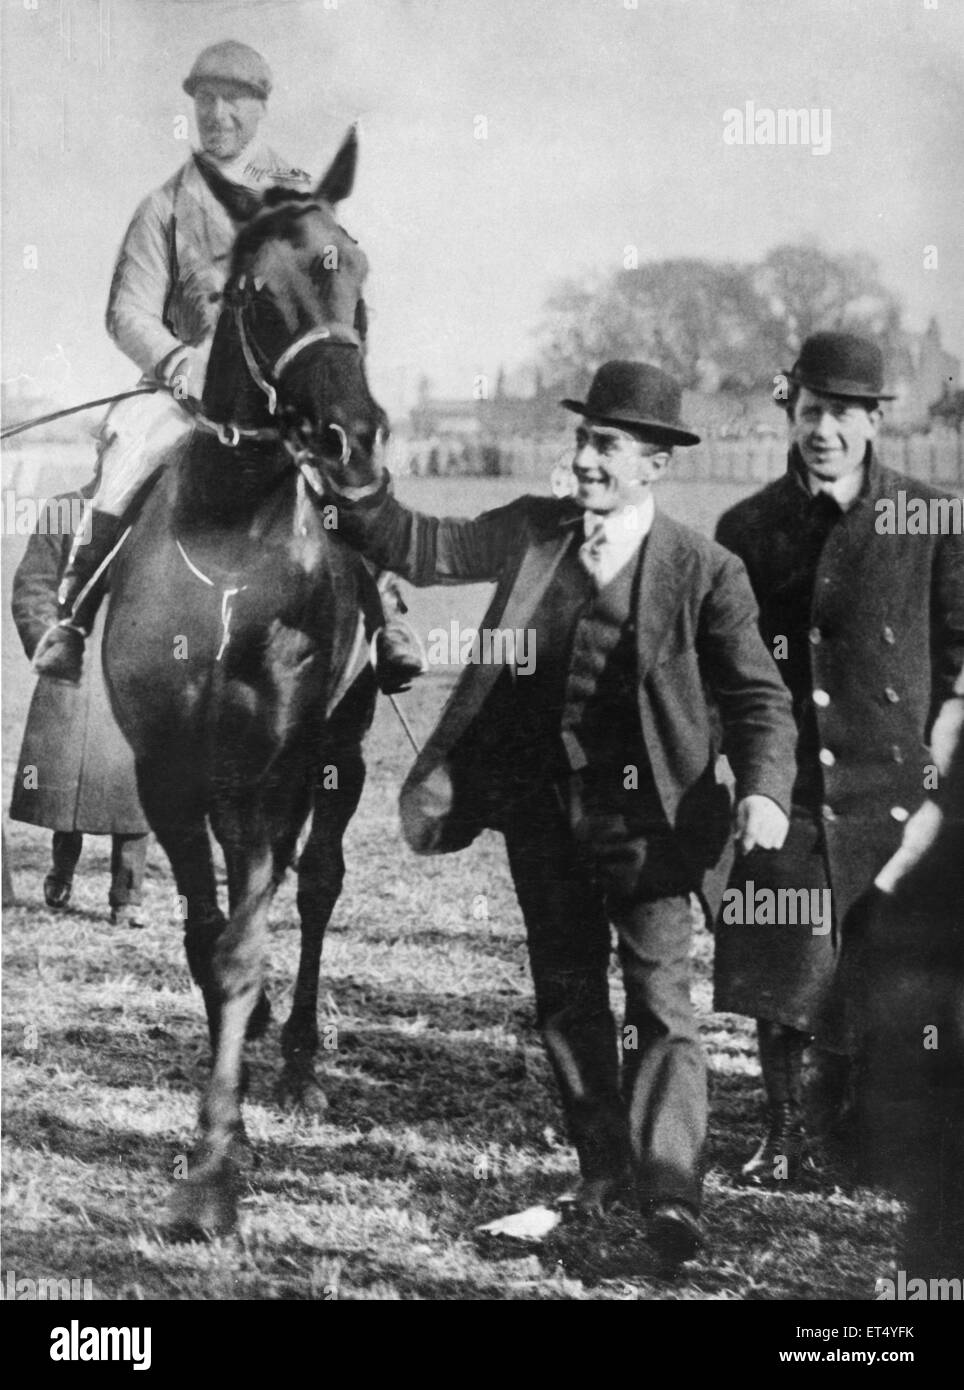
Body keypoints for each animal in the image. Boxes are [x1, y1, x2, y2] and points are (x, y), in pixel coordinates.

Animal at [105, 132, 391, 1239]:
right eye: (253, 293)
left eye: (357, 274)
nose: (353, 443)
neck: (230, 540)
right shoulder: (166, 771)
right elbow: (204, 938)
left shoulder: (274, 770)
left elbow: (240, 945)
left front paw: (214, 1170)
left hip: (337, 758)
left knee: (313, 890)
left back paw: (302, 1061)